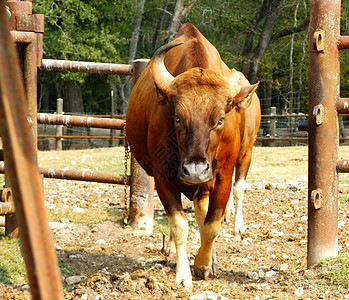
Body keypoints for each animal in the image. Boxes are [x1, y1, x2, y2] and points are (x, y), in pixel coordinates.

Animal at [126, 24, 260, 290]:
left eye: (220, 119)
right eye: (177, 117)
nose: (195, 170)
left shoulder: (223, 174)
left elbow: (211, 224)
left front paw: (204, 264)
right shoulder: (163, 176)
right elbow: (179, 225)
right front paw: (183, 274)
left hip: (232, 163)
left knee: (212, 208)